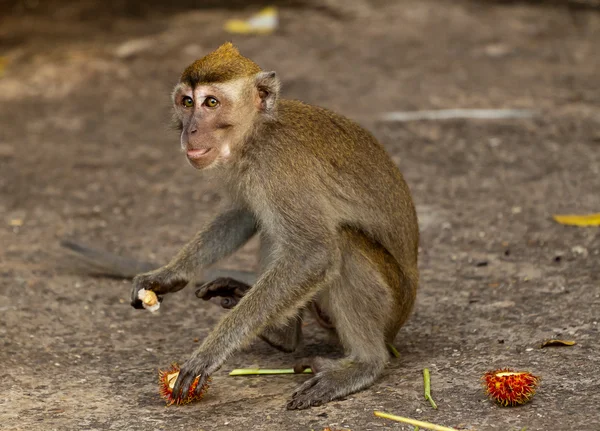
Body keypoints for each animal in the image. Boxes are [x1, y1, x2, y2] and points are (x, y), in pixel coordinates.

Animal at [108, 42, 420, 410]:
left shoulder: (279, 168)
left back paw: (364, 363)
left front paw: (212, 350)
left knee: (340, 243)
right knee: (274, 228)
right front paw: (168, 275)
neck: (257, 135)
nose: (190, 130)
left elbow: (314, 254)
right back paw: (282, 335)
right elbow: (244, 213)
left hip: (392, 304)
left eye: (210, 103)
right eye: (186, 102)